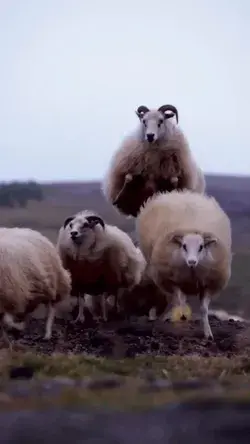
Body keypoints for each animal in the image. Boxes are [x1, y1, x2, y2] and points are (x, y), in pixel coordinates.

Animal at [137, 189, 232, 338]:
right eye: (184, 246)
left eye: (201, 247)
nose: (192, 261)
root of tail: (180, 193)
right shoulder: (172, 280)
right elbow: (180, 300)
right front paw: (181, 316)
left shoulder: (209, 285)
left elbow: (204, 309)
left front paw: (208, 333)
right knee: (175, 300)